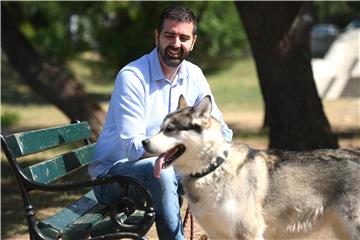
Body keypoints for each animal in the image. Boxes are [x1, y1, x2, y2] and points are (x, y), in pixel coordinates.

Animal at [143, 95, 360, 240]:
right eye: (160, 128)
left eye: (170, 129)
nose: (144, 142)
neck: (213, 169)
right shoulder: (217, 235)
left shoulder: (248, 233)